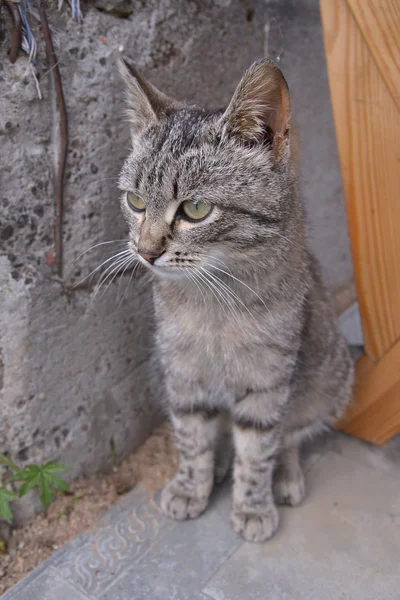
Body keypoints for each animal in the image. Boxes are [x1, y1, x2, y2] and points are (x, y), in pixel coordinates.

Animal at [118, 58, 354, 540]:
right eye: (135, 201)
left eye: (195, 209)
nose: (146, 251)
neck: (212, 303)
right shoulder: (183, 374)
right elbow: (192, 438)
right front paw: (192, 485)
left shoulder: (267, 382)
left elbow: (259, 449)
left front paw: (253, 505)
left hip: (330, 381)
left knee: (290, 436)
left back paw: (286, 477)